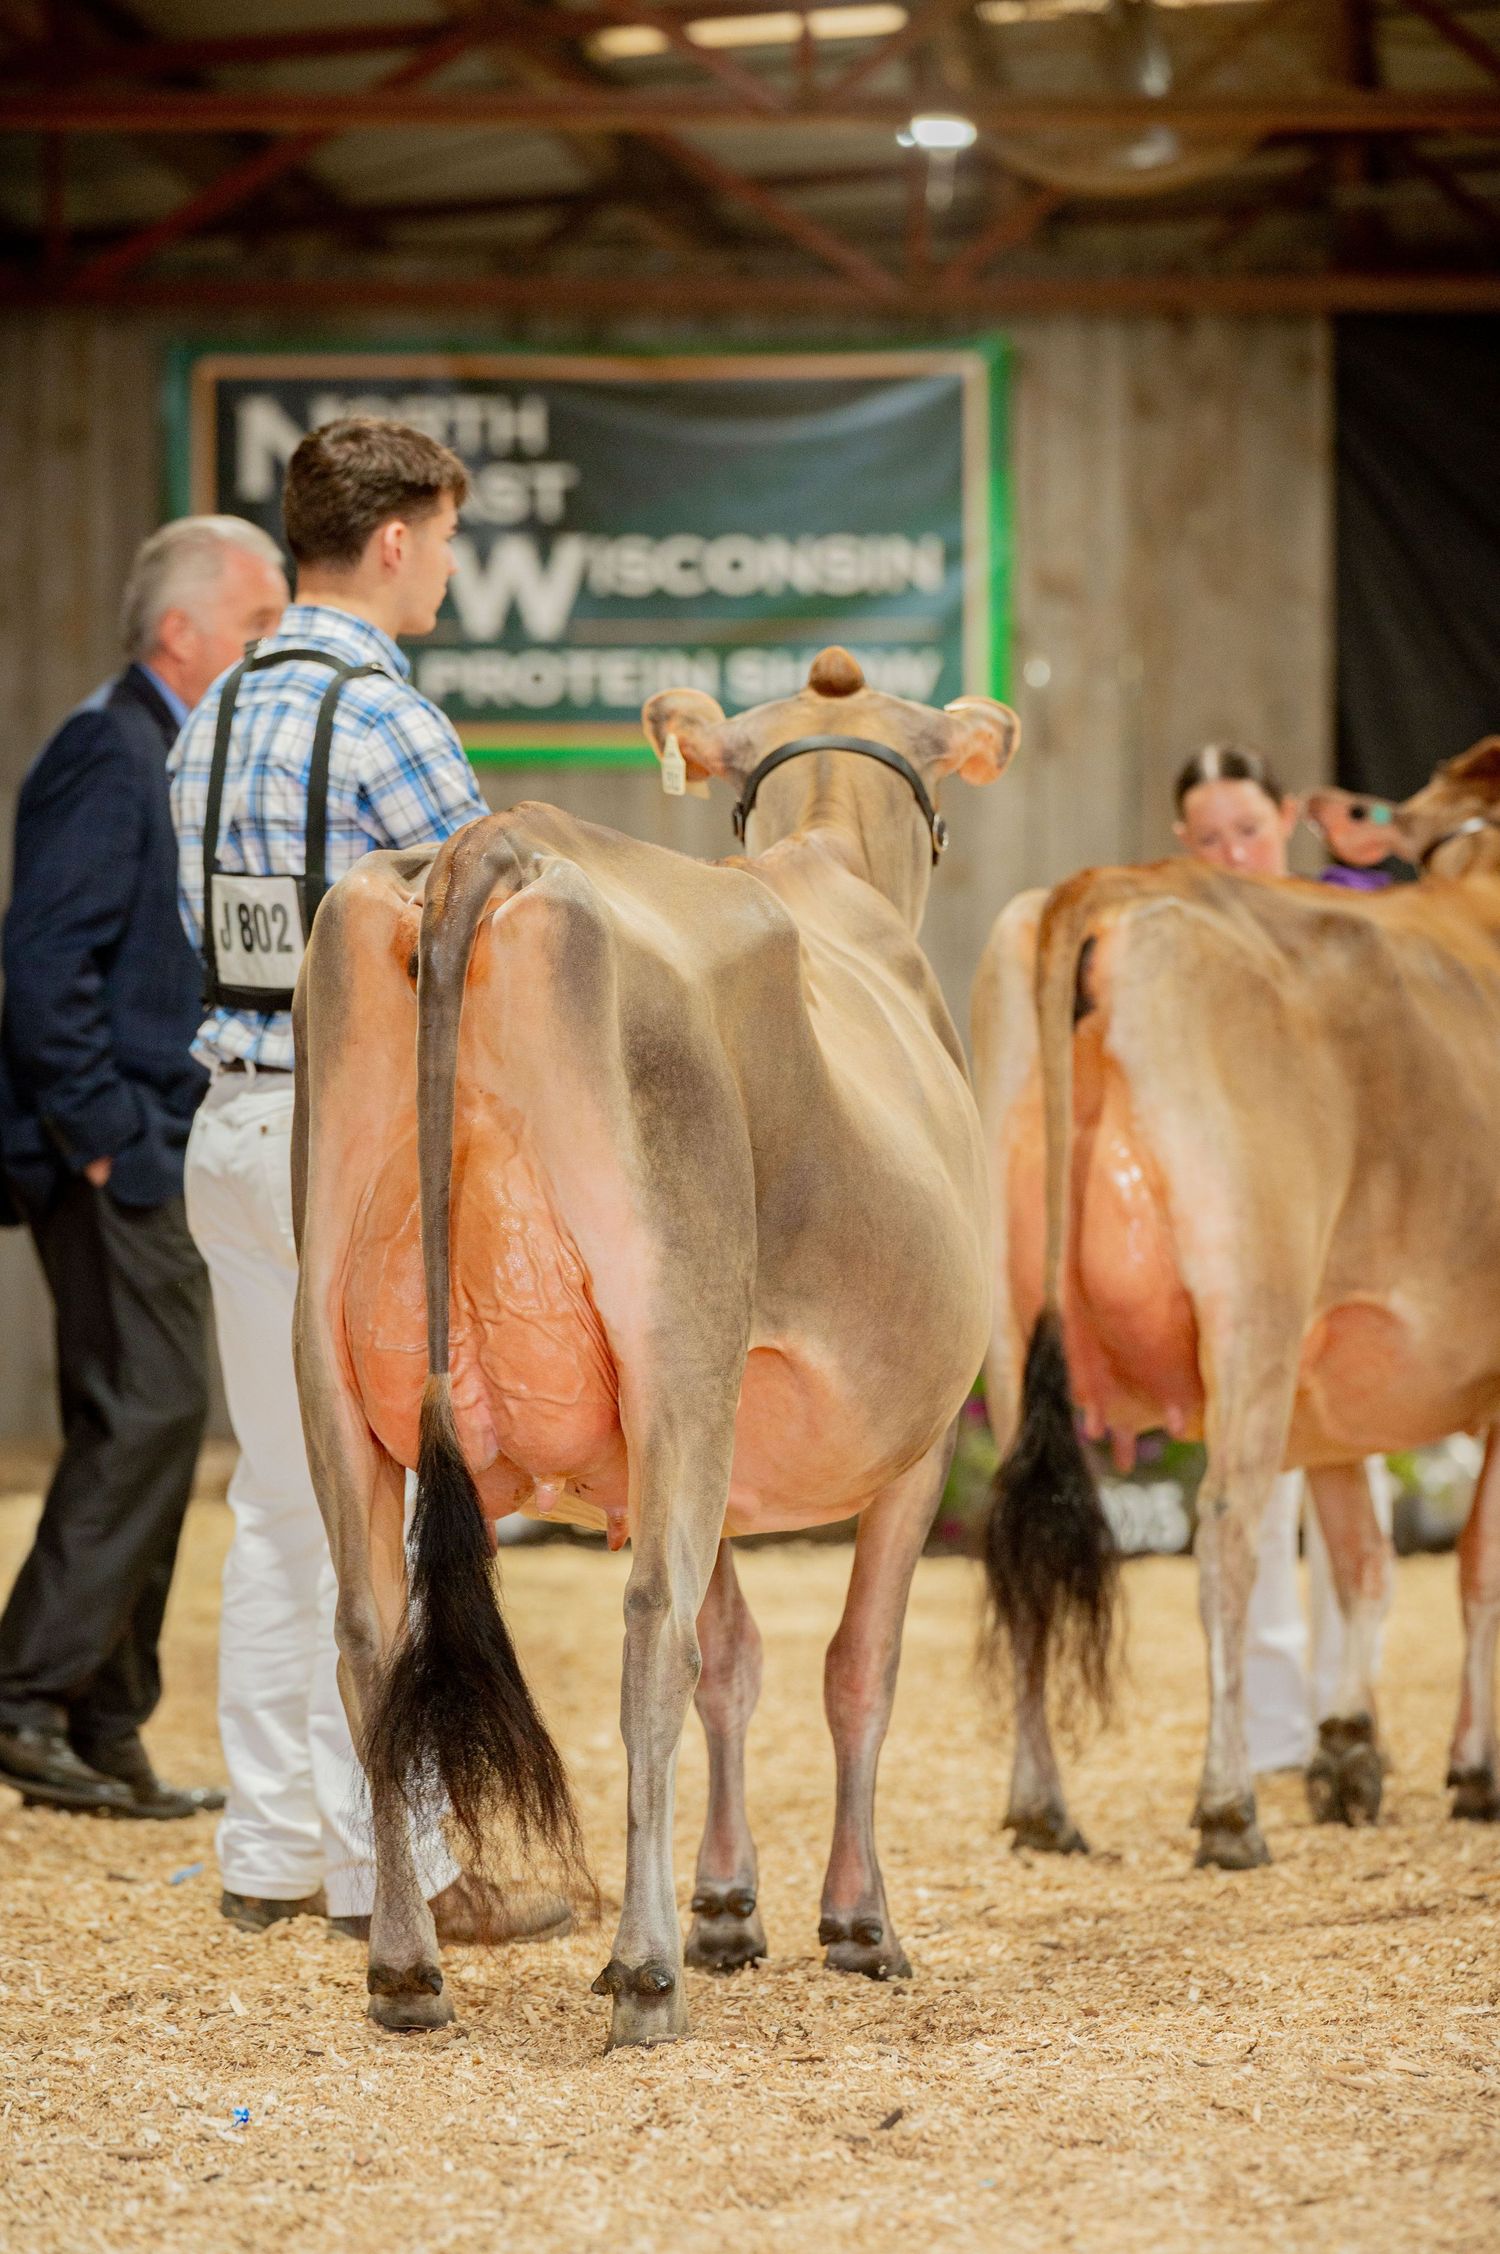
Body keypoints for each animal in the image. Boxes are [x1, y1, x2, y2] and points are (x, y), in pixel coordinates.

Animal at [291, 647, 1017, 2045]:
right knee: (650, 1629)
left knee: (366, 1629)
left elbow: (741, 1659)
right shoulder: (920, 1433)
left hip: (329, 1352)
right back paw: (642, 1972)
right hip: (672, 1336)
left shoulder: (714, 1433)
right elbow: (855, 1667)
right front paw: (855, 1923)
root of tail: (492, 843)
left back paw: (407, 1970)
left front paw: (730, 1905)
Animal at [972, 738, 1500, 1872]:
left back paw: (1042, 1807)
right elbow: (1473, 1567)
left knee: (1022, 1533)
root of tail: (1116, 883)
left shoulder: (1336, 1387)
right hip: (1252, 1298)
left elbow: (1367, 1564)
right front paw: (1472, 1770)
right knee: (1225, 1533)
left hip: (1004, 1304)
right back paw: (1228, 1809)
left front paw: (1351, 1752)